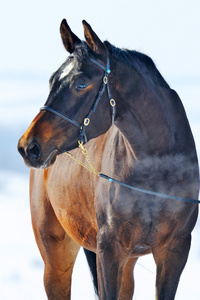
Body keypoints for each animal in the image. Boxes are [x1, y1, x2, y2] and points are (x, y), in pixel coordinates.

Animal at [18, 19, 199, 298]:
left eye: (81, 84)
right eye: (51, 81)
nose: (29, 146)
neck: (155, 173)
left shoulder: (175, 250)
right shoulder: (109, 251)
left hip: (128, 262)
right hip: (56, 258)